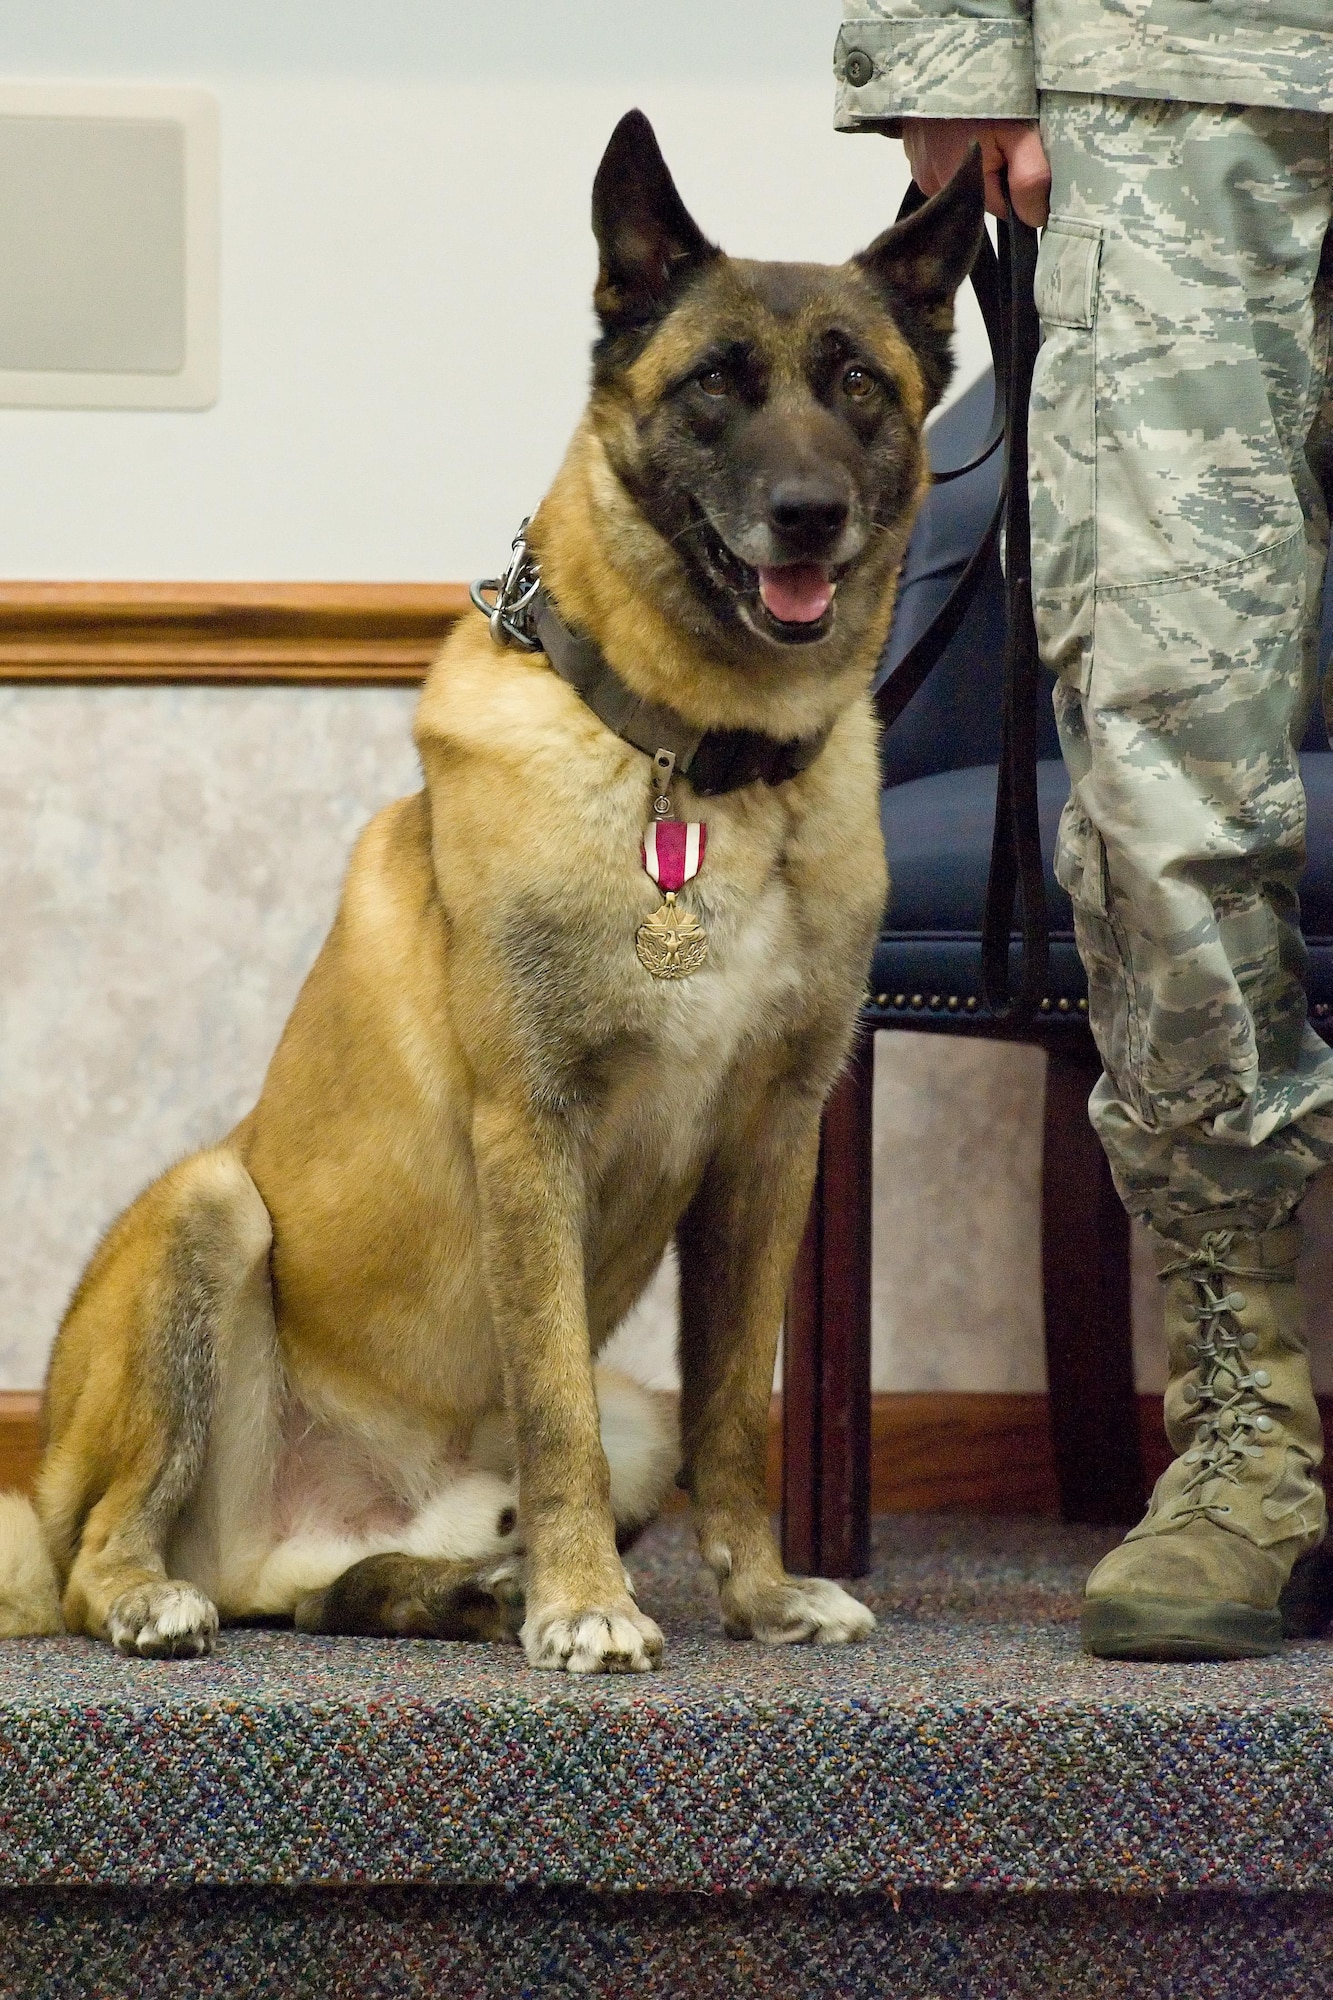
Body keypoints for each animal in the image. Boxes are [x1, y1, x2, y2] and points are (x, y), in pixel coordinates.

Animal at [0, 109, 976, 1672]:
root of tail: (281, 1532)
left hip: (539, 1451)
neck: (692, 765)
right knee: (102, 1552)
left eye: (856, 385)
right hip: (205, 1211)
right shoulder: (534, 1131)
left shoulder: (768, 1150)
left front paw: (760, 1593)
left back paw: (460, 1587)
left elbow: (737, 1410)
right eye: (715, 382)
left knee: (345, 1589)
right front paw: (588, 1602)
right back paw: (173, 1591)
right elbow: (551, 1401)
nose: (808, 516)